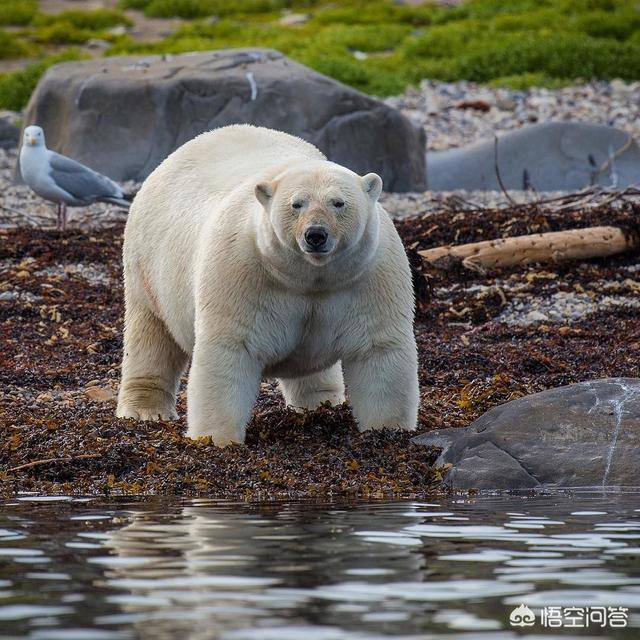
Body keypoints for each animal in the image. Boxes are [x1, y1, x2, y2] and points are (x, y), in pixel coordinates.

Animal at [116, 125, 420, 444]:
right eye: (296, 204)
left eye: (338, 203)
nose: (316, 234)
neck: (307, 277)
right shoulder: (241, 270)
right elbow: (229, 348)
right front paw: (217, 439)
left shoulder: (369, 274)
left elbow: (378, 348)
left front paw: (389, 431)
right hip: (147, 266)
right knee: (151, 336)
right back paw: (144, 409)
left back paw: (319, 403)